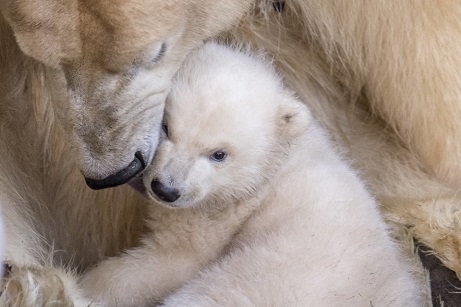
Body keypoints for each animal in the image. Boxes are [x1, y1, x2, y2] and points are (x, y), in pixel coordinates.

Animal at [0, 0, 458, 306]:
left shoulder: (218, 217)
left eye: (219, 154)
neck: (277, 163)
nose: (165, 189)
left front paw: (88, 284)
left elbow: (170, 259)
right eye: (167, 127)